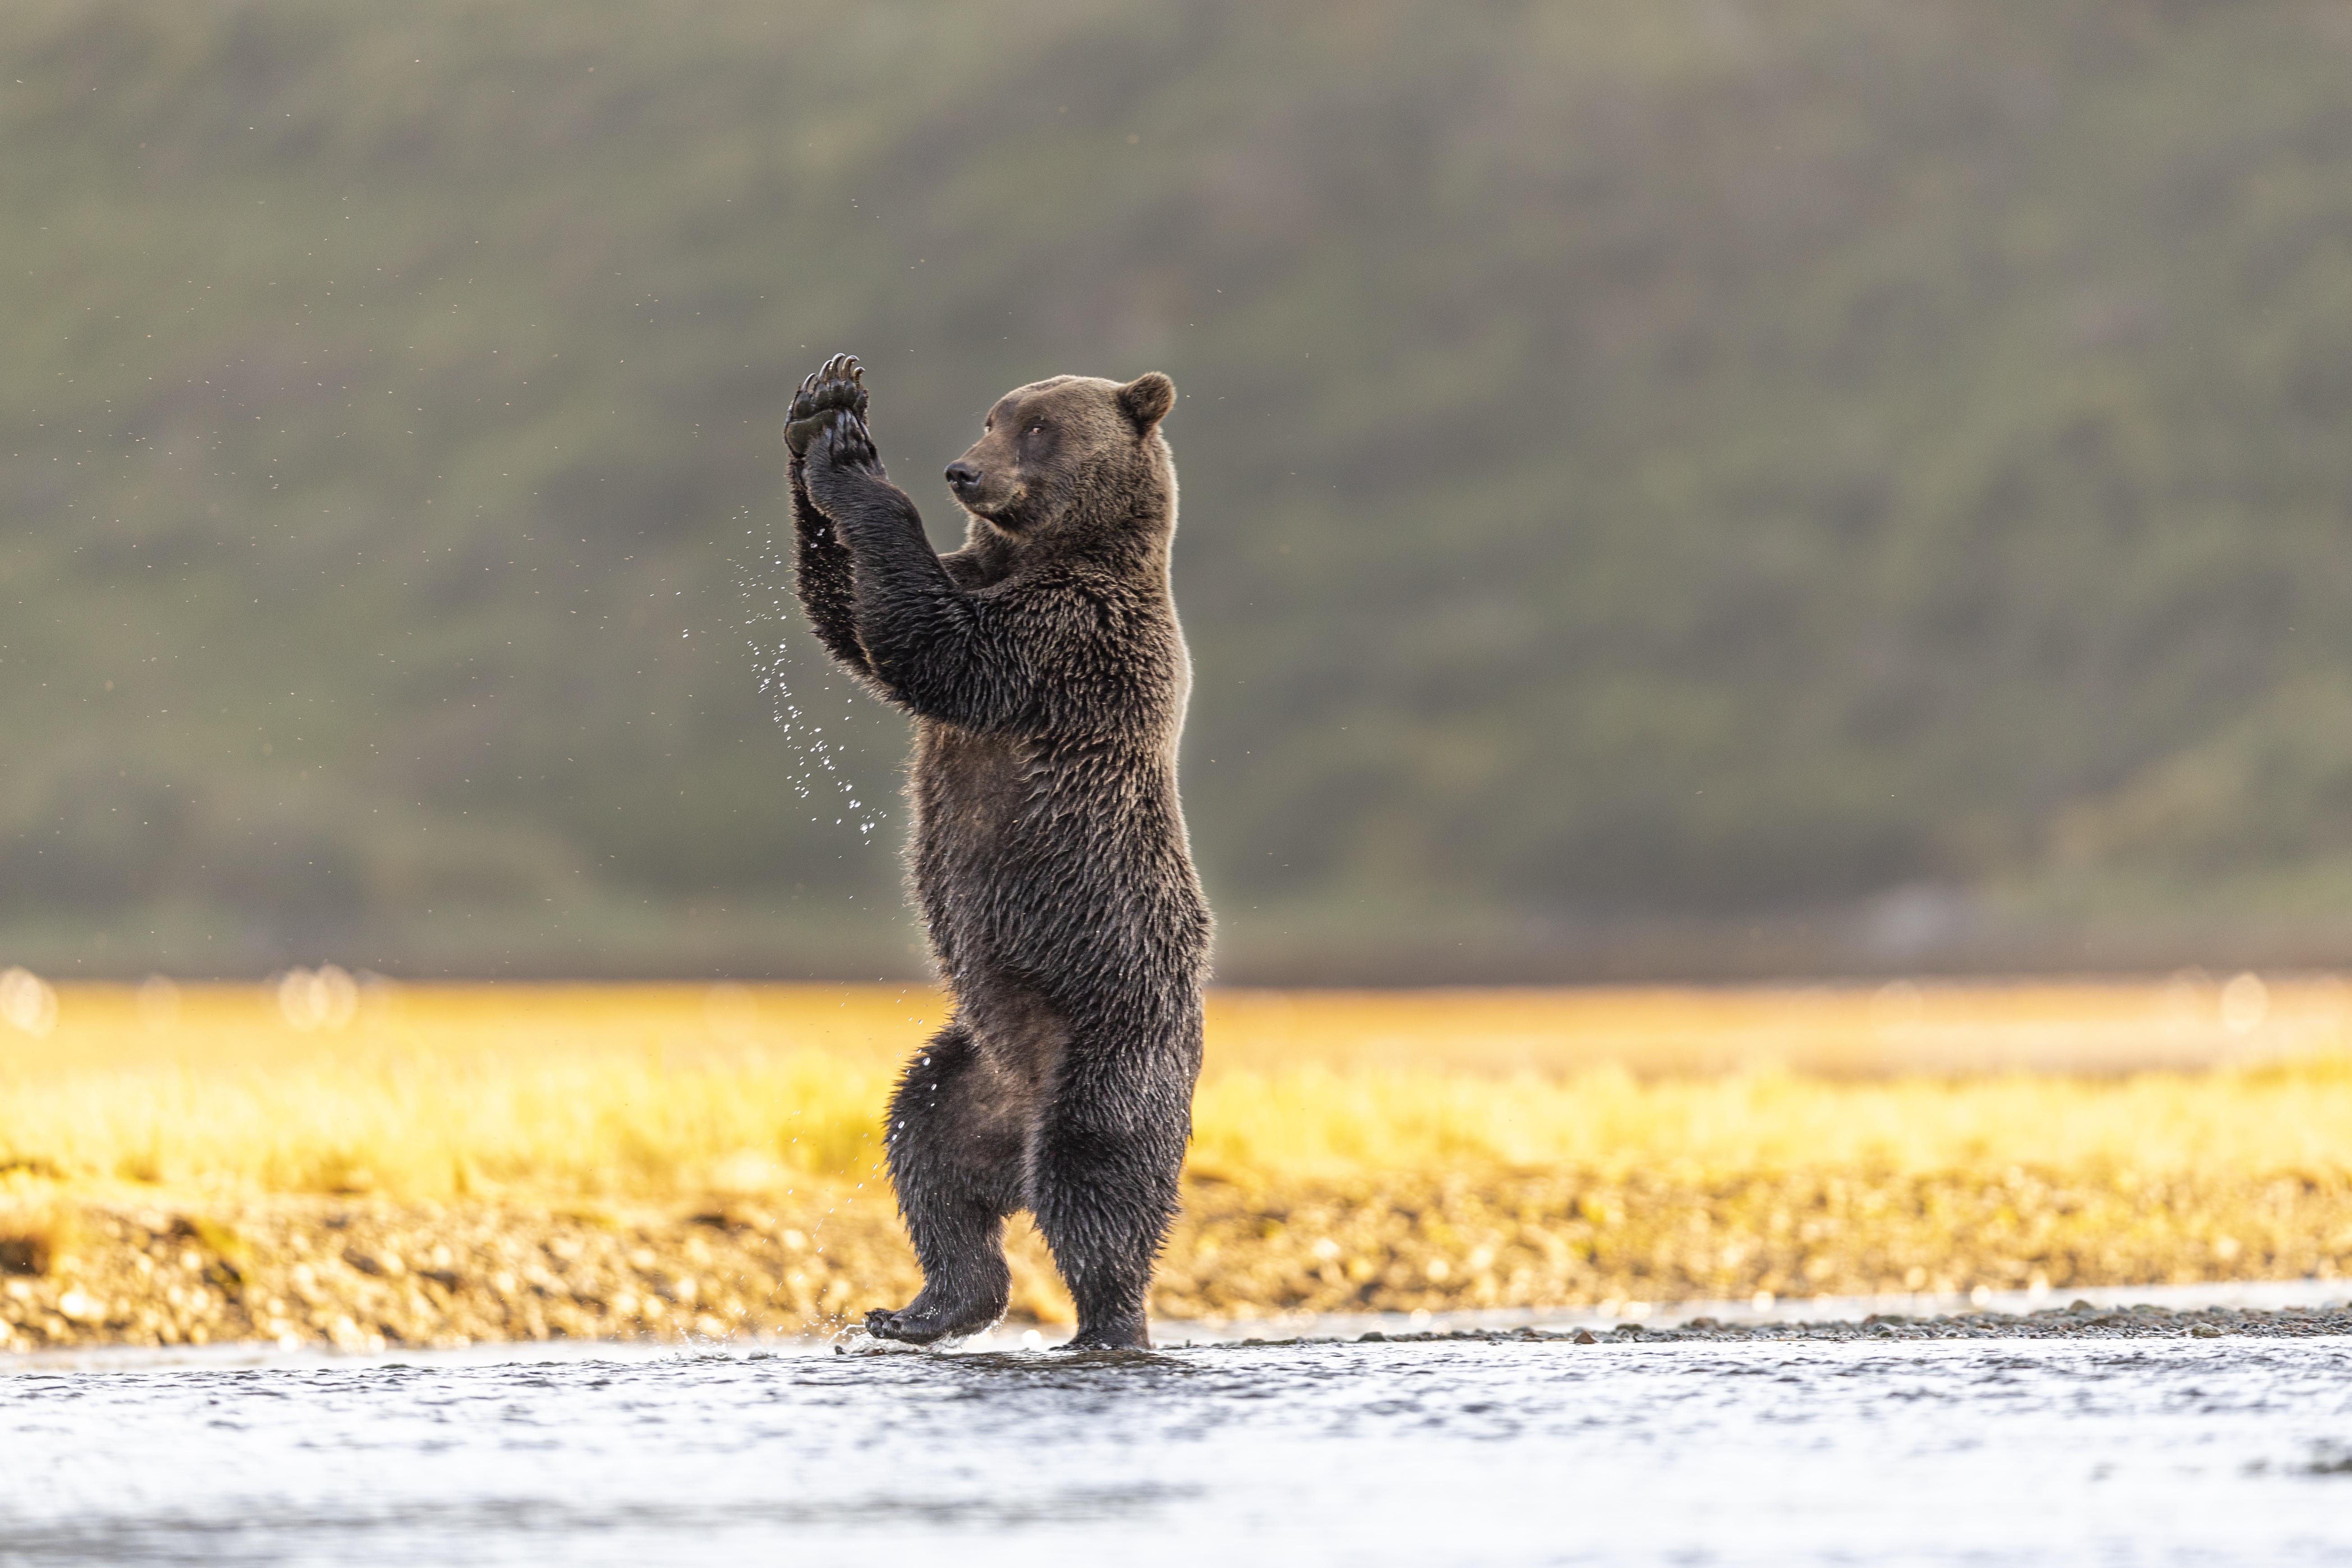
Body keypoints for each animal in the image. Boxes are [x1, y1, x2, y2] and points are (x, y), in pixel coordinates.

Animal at [785, 355, 1204, 1354]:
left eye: (1040, 429)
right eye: (994, 416)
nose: (962, 471)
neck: (1043, 553)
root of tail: (1018, 1115)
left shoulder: (1070, 636)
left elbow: (935, 647)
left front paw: (856, 464)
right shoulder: (986, 577)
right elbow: (854, 620)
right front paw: (821, 410)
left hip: (1111, 1028)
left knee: (1097, 1182)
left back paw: (1104, 1323)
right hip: (964, 1064)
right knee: (925, 1156)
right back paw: (923, 1306)